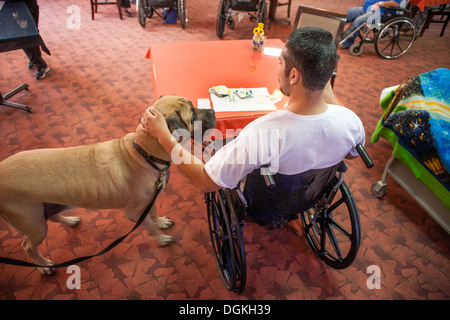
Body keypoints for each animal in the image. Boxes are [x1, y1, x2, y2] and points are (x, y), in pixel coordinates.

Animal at [0, 95, 216, 276]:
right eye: (192, 113)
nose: (214, 112)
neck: (144, 152)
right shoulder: (135, 213)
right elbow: (150, 227)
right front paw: (162, 238)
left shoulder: (150, 201)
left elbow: (154, 214)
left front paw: (161, 222)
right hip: (33, 224)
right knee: (27, 246)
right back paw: (44, 265)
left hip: (43, 210)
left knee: (52, 216)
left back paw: (70, 220)